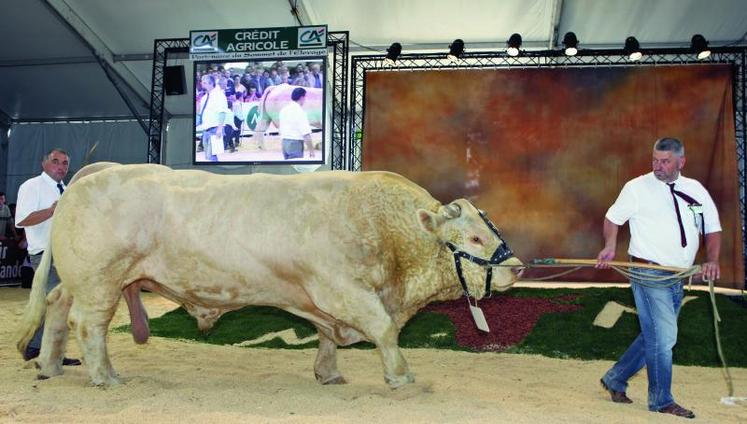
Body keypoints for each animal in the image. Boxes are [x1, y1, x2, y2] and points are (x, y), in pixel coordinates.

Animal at [14, 165, 524, 388]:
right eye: (474, 237)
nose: (517, 266)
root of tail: (94, 174)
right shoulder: (341, 289)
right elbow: (382, 328)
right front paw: (400, 375)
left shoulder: (323, 300)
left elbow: (327, 338)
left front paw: (327, 374)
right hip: (101, 281)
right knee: (88, 325)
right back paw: (105, 376)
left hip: (85, 280)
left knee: (57, 308)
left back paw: (51, 365)